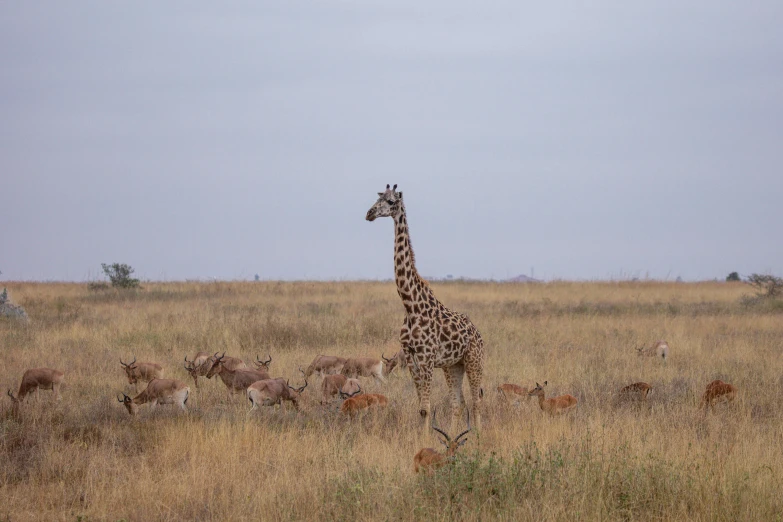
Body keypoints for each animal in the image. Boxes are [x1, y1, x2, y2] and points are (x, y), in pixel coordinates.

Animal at [366, 184, 484, 434]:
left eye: (391, 202)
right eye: (378, 198)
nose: (369, 213)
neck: (410, 305)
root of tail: (479, 334)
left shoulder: (427, 357)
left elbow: (426, 408)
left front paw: (425, 438)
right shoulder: (411, 357)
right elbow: (421, 407)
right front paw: (424, 438)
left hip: (474, 360)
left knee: (477, 400)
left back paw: (478, 436)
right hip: (453, 365)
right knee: (458, 402)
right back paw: (453, 435)